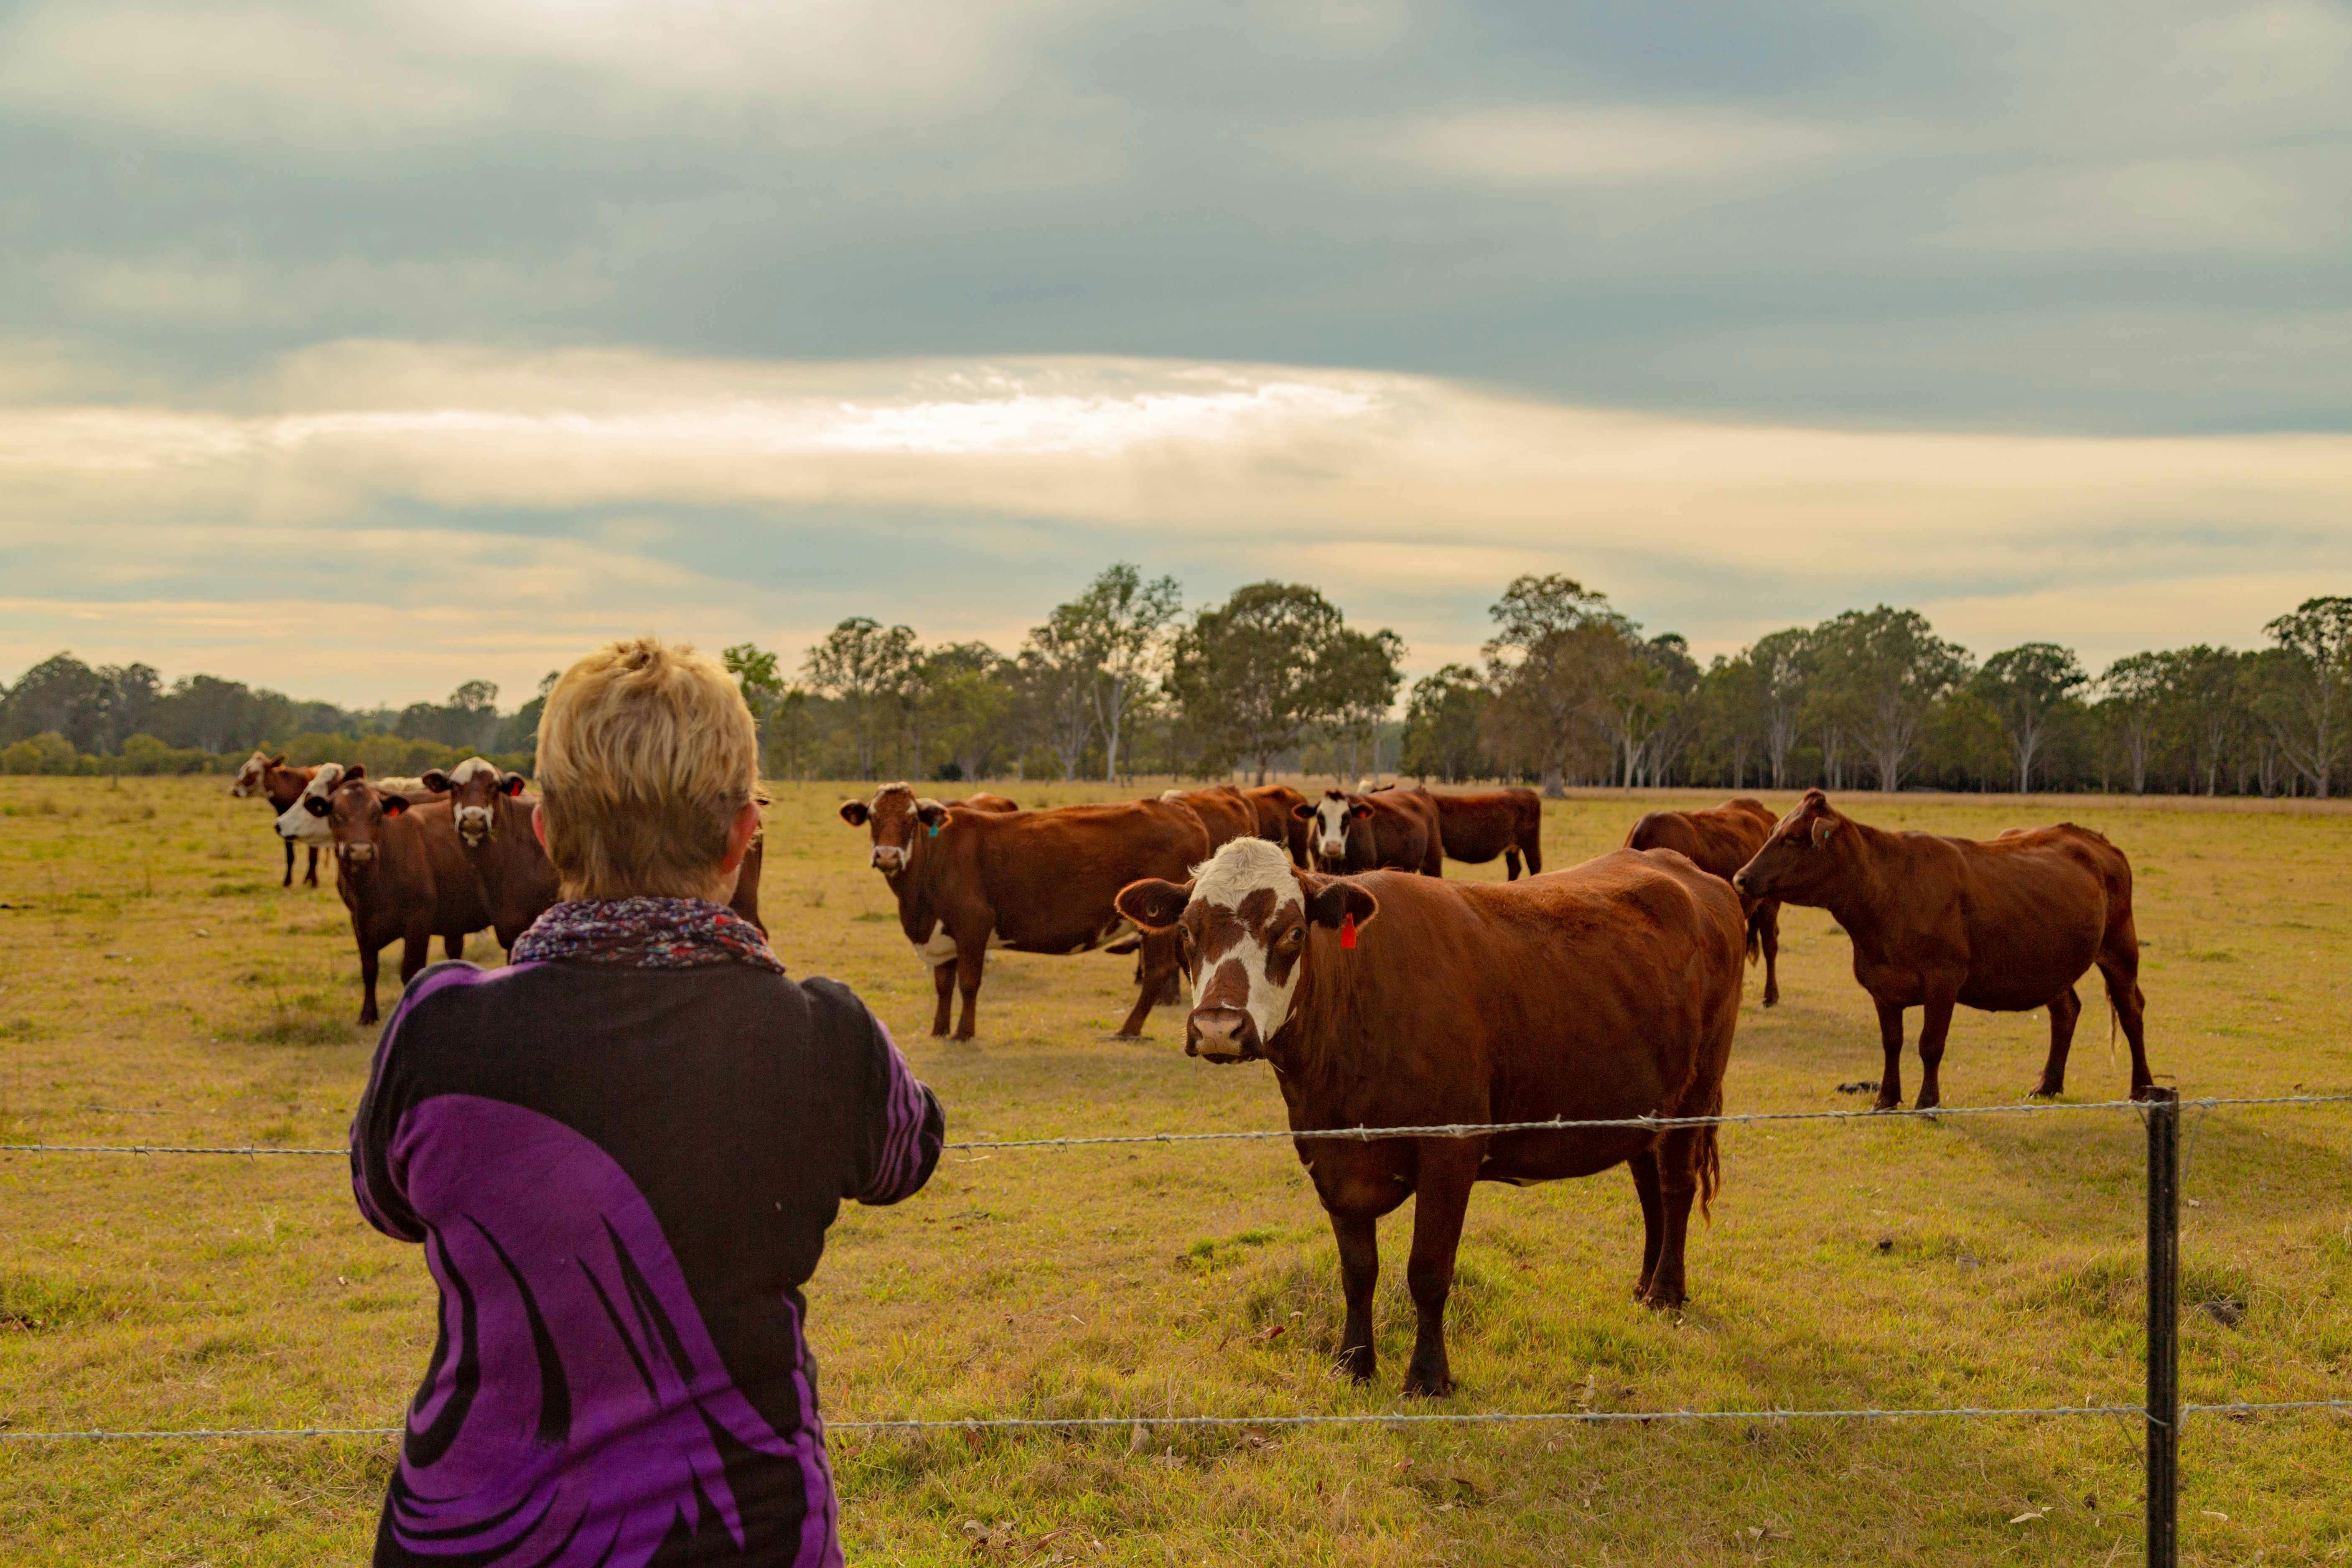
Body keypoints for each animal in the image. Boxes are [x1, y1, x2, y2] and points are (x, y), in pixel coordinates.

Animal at [230, 750, 325, 888]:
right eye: (242, 770)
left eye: (253, 773)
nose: (234, 790)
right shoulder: (285, 829)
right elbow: (290, 856)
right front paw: (288, 881)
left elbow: (313, 857)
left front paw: (314, 882)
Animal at [311, 771, 491, 1025]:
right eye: (337, 815)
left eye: (376, 814)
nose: (360, 851)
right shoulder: (359, 922)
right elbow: (369, 969)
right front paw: (368, 1014)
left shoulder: (418, 920)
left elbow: (411, 970)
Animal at [838, 783, 1209, 1040]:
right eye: (872, 817)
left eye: (911, 819)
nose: (887, 855)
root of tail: (1178, 809)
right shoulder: (942, 935)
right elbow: (943, 985)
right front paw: (939, 1030)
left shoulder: (973, 924)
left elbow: (968, 983)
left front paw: (963, 1033)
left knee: (1158, 971)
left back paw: (1128, 1029)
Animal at [1113, 838, 1744, 1395]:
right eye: (1187, 932)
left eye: (1292, 932)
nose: (1219, 1026)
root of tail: (1691, 874)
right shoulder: (1332, 1158)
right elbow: (1358, 1271)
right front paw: (1353, 1363)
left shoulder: (1450, 1149)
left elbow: (1428, 1270)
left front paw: (1427, 1377)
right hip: (1645, 1104)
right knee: (1649, 1186)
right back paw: (1644, 1284)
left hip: (1695, 1092)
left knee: (1676, 1185)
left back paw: (1666, 1291)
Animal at [1731, 790, 2154, 1109]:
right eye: (1773, 832)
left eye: (1793, 838)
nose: (1741, 877)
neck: (1886, 893)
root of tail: (2093, 839)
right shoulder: (1880, 983)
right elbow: (1892, 1043)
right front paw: (1885, 1099)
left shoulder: (1943, 979)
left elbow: (1930, 1045)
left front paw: (1927, 1102)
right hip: (2051, 962)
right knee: (2066, 1011)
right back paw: (2048, 1085)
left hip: (2120, 947)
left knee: (2131, 1011)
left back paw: (2143, 1089)